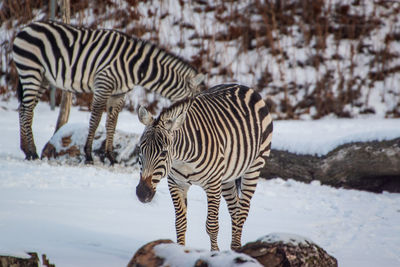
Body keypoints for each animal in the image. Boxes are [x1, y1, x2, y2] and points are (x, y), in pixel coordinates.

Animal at [12, 20, 203, 163]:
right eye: (194, 103)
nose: (198, 129)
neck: (135, 66)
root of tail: (26, 27)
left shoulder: (118, 94)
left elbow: (112, 123)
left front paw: (110, 157)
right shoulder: (103, 86)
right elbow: (95, 120)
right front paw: (88, 155)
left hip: (42, 78)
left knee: (24, 109)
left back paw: (26, 150)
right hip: (31, 71)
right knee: (27, 111)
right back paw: (32, 153)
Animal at [136, 85, 274, 252]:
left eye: (163, 152)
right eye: (140, 149)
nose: (142, 193)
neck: (182, 159)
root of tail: (244, 87)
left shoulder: (213, 184)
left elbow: (212, 225)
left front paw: (215, 253)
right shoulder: (176, 183)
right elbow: (180, 222)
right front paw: (179, 252)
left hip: (254, 167)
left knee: (243, 210)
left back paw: (237, 248)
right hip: (227, 177)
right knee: (234, 208)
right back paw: (234, 250)